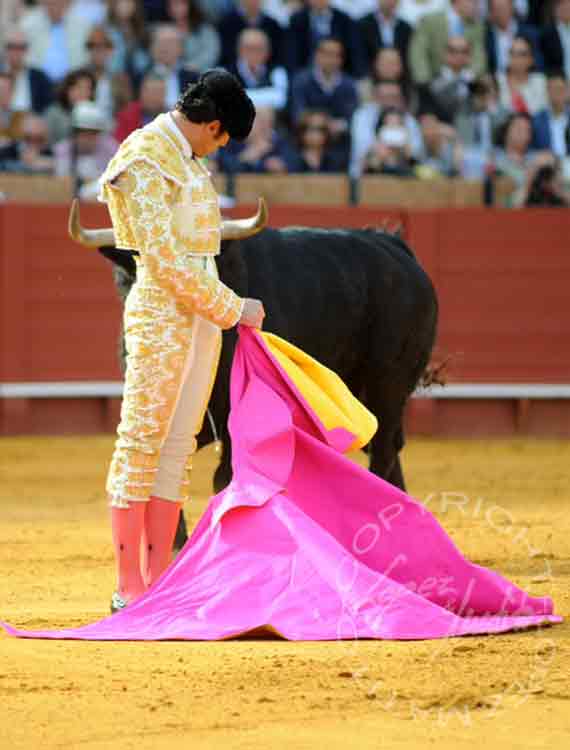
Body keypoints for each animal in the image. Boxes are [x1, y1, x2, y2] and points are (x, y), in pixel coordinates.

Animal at [98, 226, 434, 548]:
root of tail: (393, 245)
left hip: (387, 384)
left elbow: (229, 478)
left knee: (383, 450)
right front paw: (176, 544)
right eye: (125, 279)